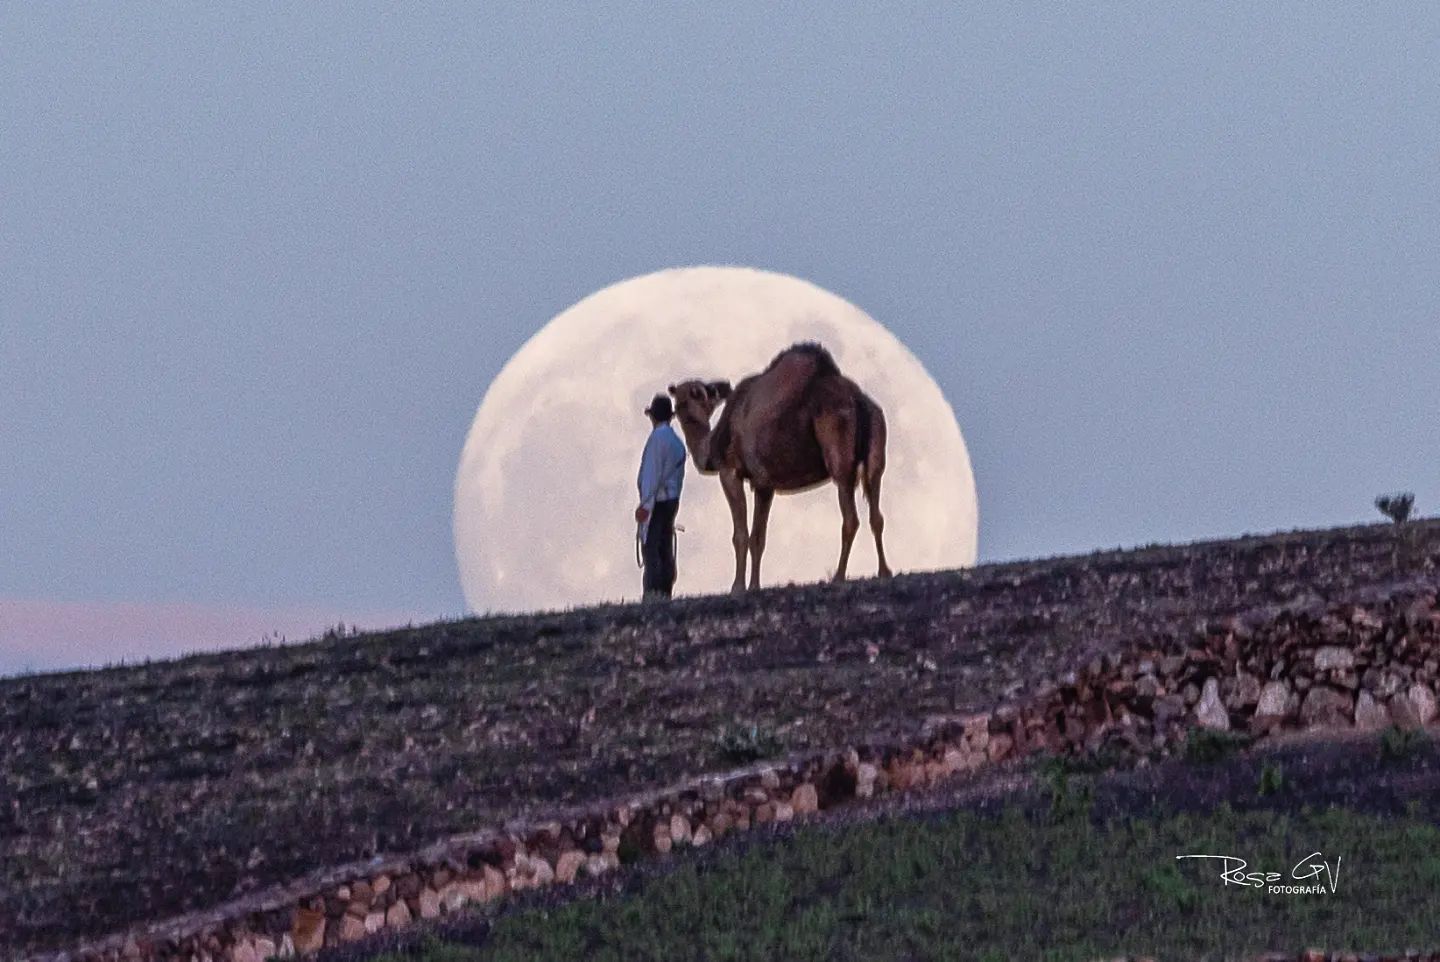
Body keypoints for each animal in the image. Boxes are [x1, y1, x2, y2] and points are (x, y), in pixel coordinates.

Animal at [671, 341, 892, 590]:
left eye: (694, 392)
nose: (720, 385)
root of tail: (858, 400)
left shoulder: (730, 471)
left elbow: (741, 534)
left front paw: (737, 587)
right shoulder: (764, 484)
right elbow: (758, 538)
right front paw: (754, 586)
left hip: (839, 446)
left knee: (851, 518)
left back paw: (838, 576)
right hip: (876, 448)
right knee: (876, 514)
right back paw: (884, 572)